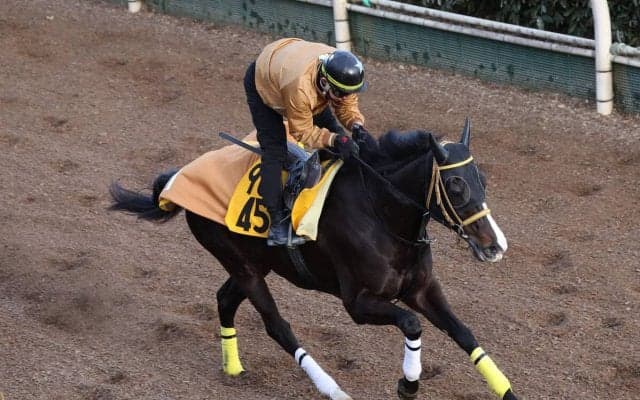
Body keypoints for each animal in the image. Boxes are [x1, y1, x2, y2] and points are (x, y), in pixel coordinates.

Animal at [109, 119, 518, 400]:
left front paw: (506, 390)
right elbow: (412, 324)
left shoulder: (422, 288)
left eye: (482, 179)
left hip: (253, 263)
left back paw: (234, 367)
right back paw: (332, 389)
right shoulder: (358, 302)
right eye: (456, 186)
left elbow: (463, 332)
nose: (495, 245)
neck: (381, 213)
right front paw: (408, 385)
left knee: (225, 299)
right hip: (242, 266)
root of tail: (177, 176)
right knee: (277, 326)